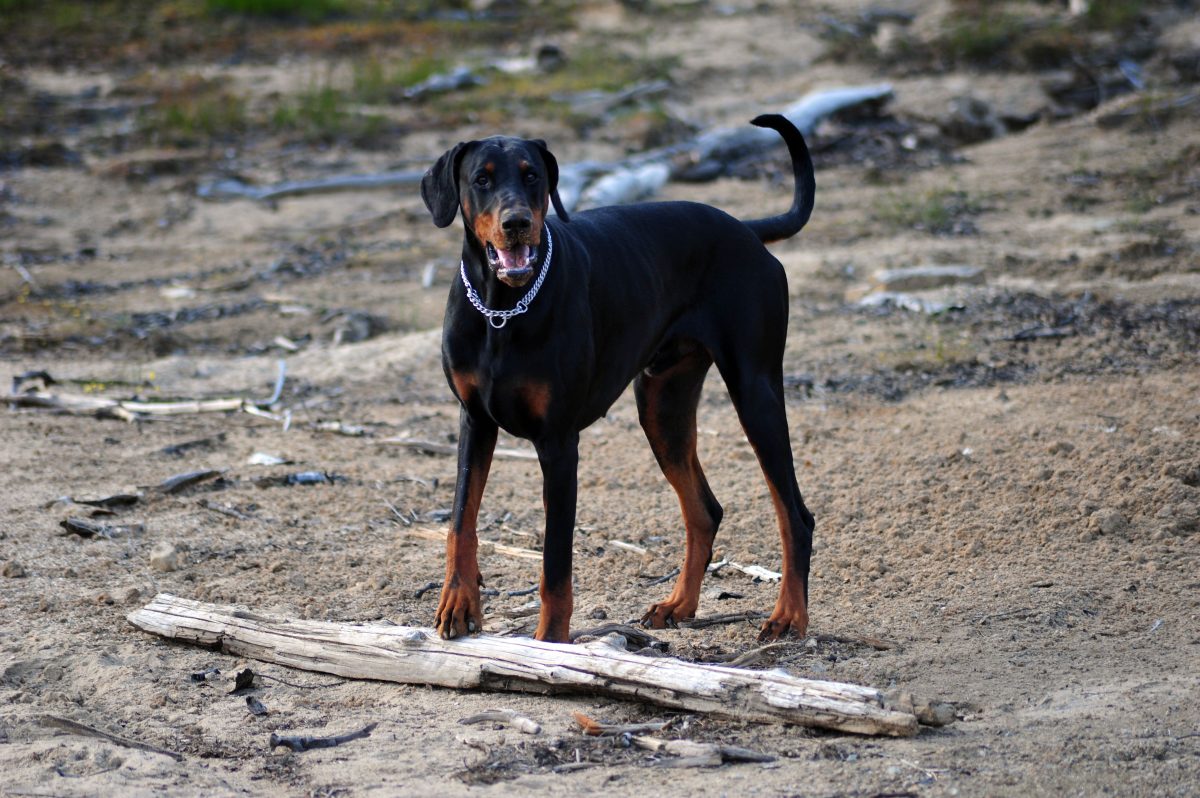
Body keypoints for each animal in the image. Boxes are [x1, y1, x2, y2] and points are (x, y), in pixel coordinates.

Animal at [420, 115, 816, 643]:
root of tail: (745, 230)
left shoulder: (559, 444)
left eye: (532, 176)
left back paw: (788, 614)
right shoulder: (474, 422)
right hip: (662, 405)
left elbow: (555, 564)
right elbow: (461, 521)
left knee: (795, 515)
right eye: (481, 179)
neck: (501, 310)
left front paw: (549, 644)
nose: (517, 222)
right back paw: (678, 604)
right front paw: (458, 603)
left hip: (756, 393)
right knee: (705, 511)